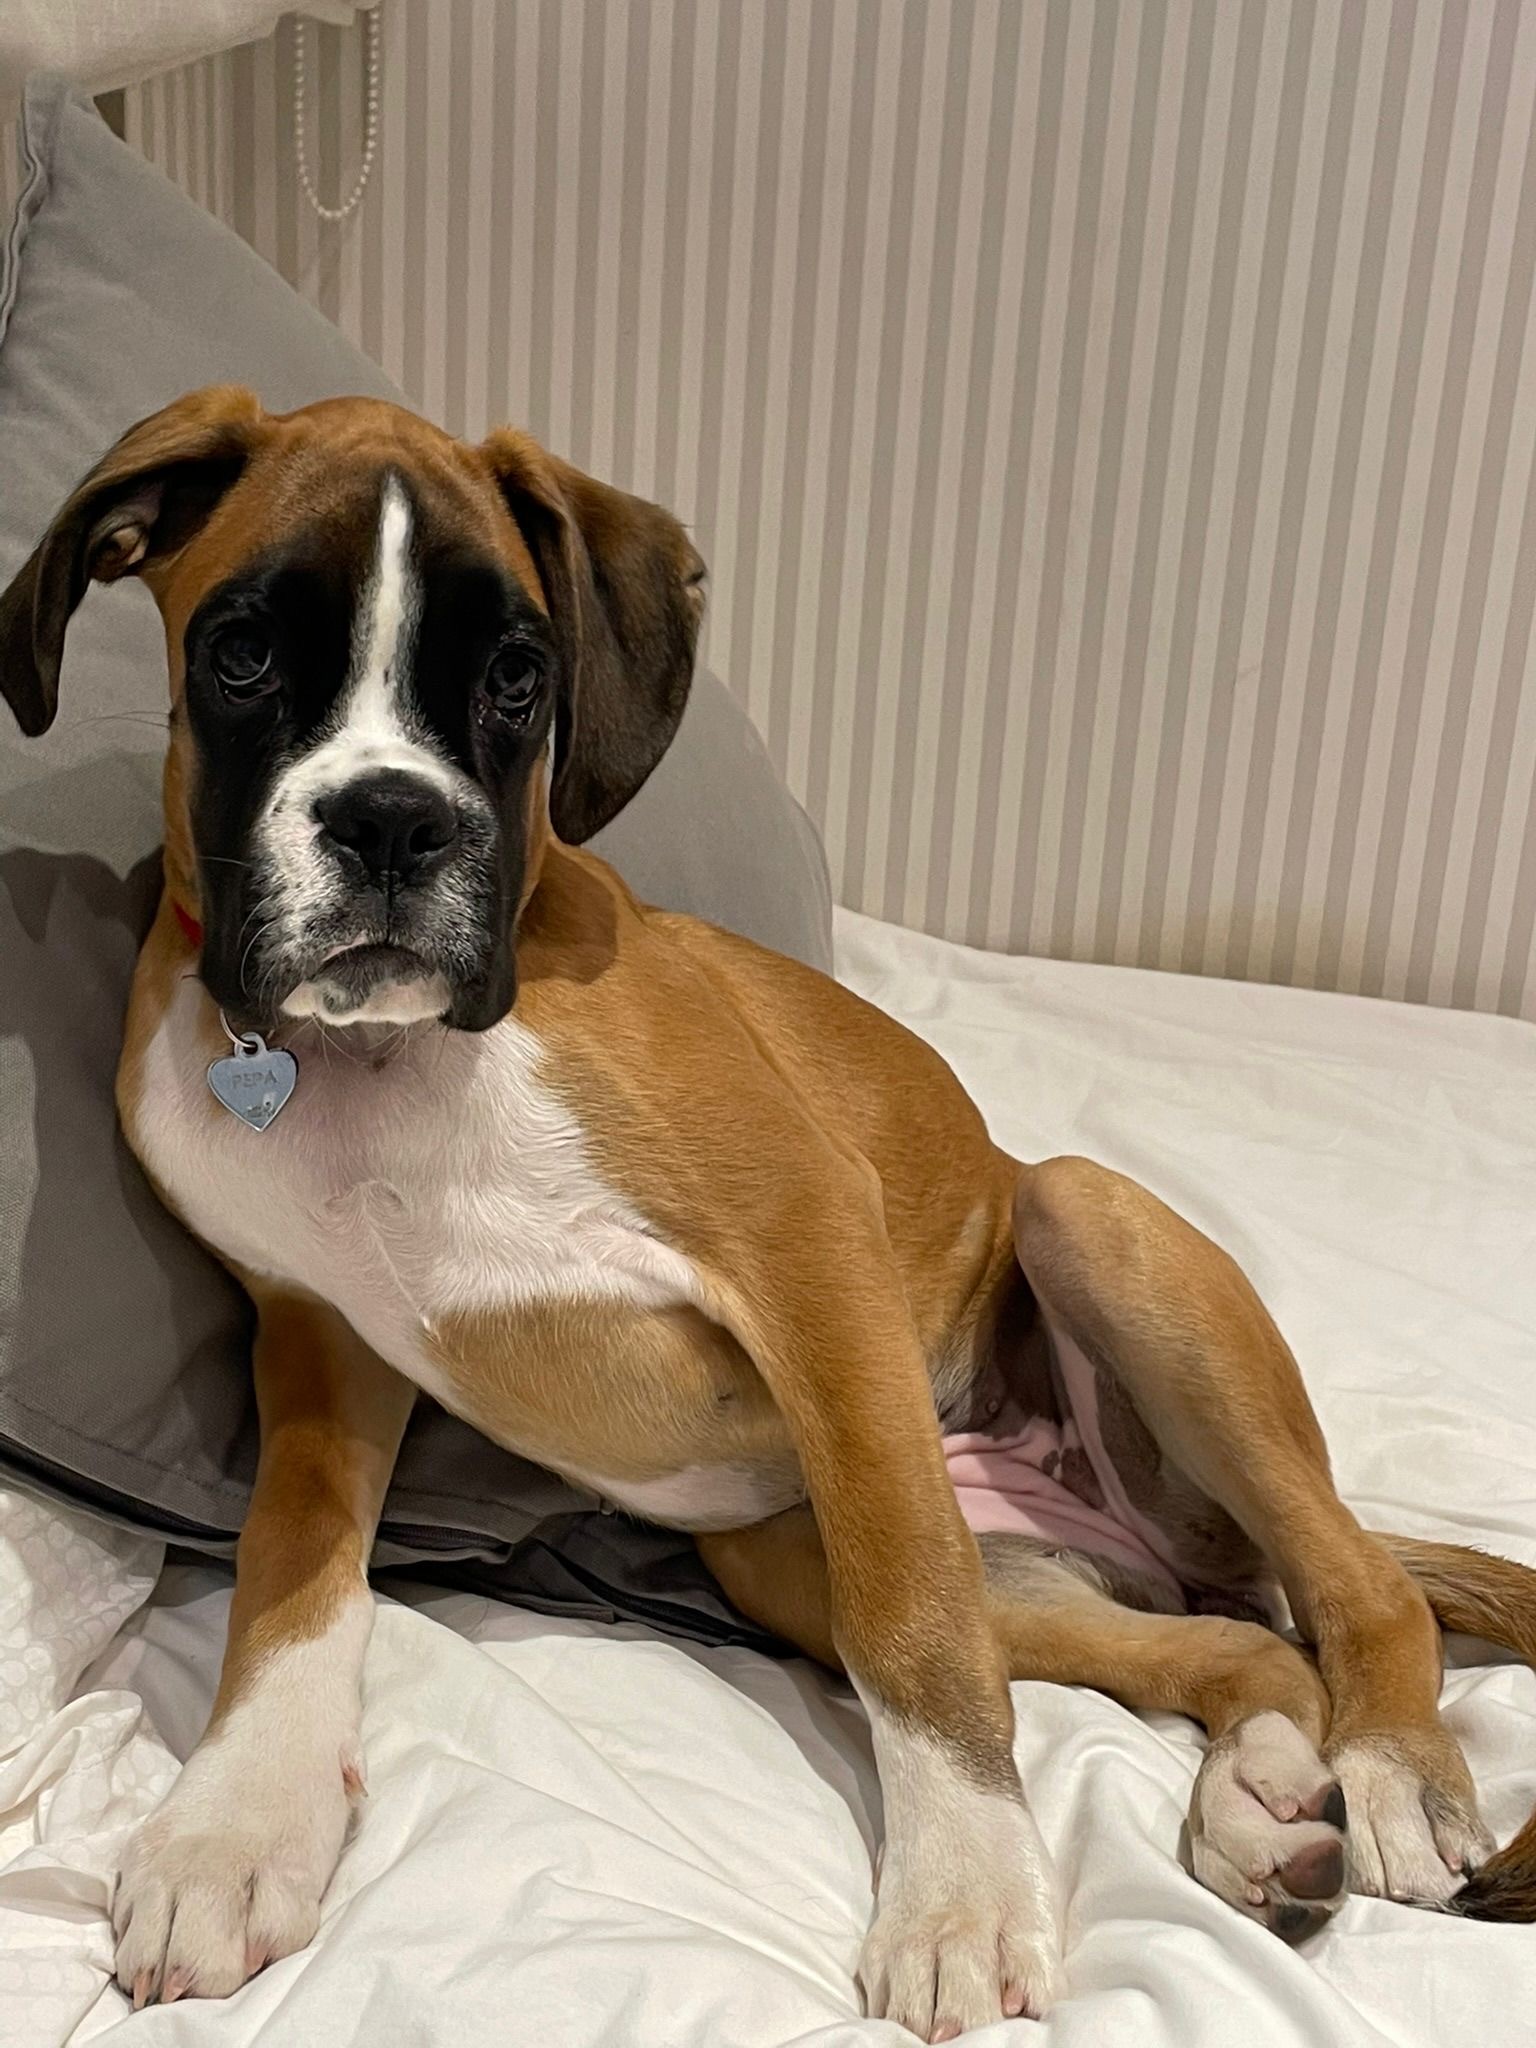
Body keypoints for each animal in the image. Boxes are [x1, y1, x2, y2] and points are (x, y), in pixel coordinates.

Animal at [3, 388, 1534, 2038]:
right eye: (242, 652)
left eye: (518, 677)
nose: (395, 824)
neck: (373, 1059)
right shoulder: (318, 1341)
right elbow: (289, 1572)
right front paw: (234, 1829)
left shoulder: (809, 1246)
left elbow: (911, 1616)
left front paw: (960, 1895)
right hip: (846, 1563)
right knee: (1239, 1641)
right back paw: (1264, 1803)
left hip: (1076, 1236)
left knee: (1350, 1588)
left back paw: (1390, 1778)